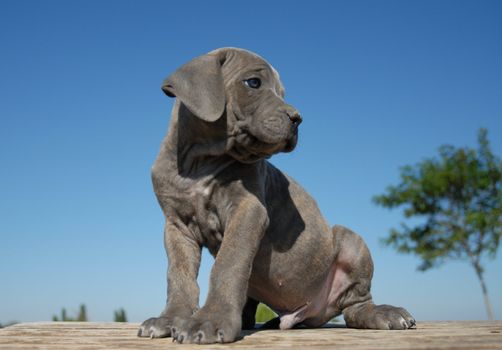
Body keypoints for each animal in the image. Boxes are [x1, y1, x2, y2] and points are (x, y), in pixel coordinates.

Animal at [138, 47, 416, 344]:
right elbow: (179, 277)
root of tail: (313, 311)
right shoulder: (177, 226)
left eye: (282, 93)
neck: (199, 162)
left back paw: (382, 313)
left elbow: (227, 265)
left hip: (351, 242)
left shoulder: (247, 211)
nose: (298, 118)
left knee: (356, 305)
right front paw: (170, 319)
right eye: (254, 83)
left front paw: (210, 320)